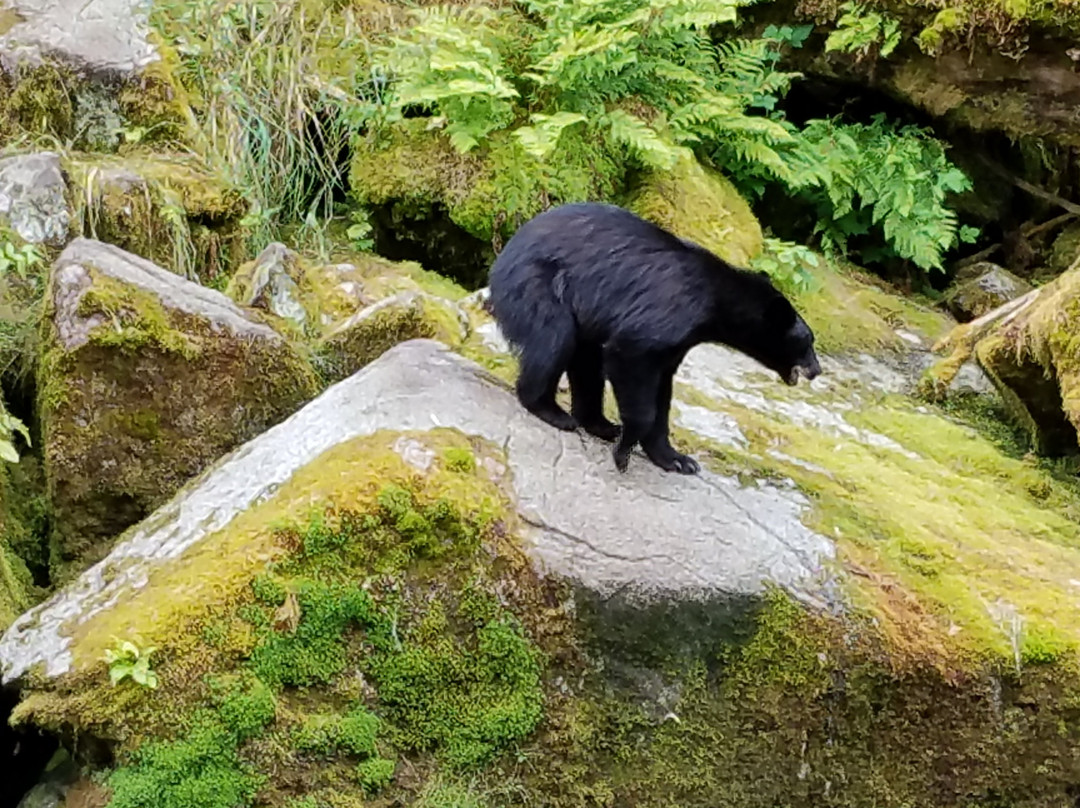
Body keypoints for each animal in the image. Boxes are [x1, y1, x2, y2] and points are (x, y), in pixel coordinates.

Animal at [486, 202, 820, 477]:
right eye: (808, 342)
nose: (817, 371)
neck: (716, 302)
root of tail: (503, 254)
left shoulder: (679, 343)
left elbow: (662, 390)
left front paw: (676, 459)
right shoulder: (670, 312)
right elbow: (632, 357)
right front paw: (624, 453)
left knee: (586, 360)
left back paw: (600, 424)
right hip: (539, 285)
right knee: (554, 340)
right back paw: (551, 411)